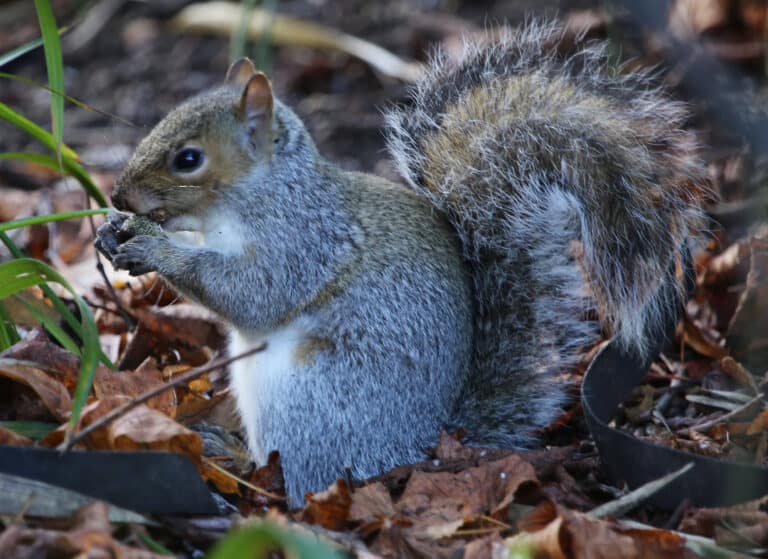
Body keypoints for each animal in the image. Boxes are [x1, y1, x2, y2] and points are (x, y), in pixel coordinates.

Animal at [95, 20, 706, 505]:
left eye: (188, 158)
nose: (120, 195)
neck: (261, 191)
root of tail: (422, 449)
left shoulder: (303, 240)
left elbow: (252, 292)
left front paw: (155, 248)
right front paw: (113, 230)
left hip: (313, 399)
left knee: (305, 477)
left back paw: (246, 468)